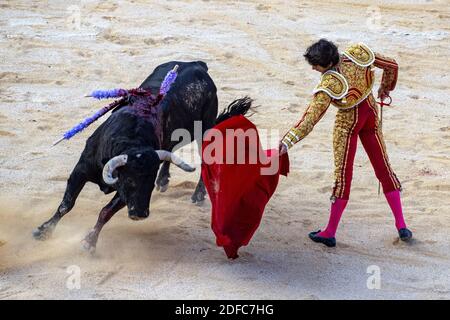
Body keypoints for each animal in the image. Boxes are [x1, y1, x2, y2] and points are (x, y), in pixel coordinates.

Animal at [33, 60, 251, 252]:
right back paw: (164, 180)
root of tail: (198, 65)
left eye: (148, 182)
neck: (132, 141)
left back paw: (197, 194)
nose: (140, 214)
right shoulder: (81, 170)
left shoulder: (122, 194)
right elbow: (66, 205)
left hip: (203, 128)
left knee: (206, 156)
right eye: (131, 180)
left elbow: (105, 213)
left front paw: (89, 242)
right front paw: (43, 231)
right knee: (172, 147)